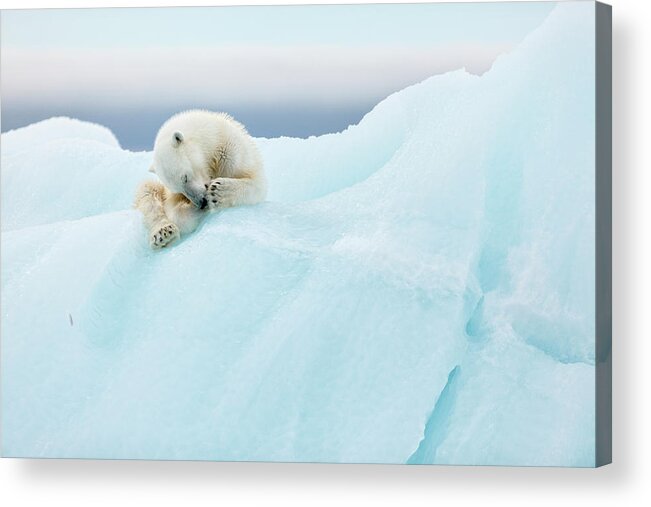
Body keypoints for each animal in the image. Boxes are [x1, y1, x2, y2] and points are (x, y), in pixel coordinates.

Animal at [134, 110, 266, 249]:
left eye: (185, 177)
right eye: (179, 190)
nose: (202, 202)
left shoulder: (232, 152)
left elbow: (257, 183)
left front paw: (218, 191)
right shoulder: (169, 193)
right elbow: (174, 211)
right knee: (147, 191)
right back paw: (163, 233)